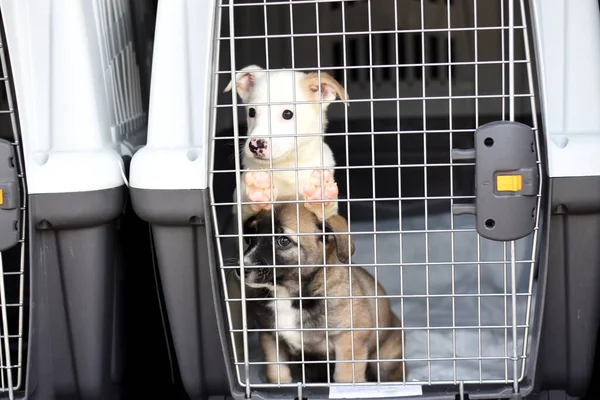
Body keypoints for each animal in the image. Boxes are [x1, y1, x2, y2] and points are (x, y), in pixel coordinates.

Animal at [224, 65, 346, 222]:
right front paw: (259, 191)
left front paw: (320, 195)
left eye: (287, 114)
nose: (255, 145)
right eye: (251, 112)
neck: (287, 167)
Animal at [240, 200, 408, 384]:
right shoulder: (270, 338)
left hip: (385, 362)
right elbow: (277, 373)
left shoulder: (348, 341)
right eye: (252, 235)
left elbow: (344, 378)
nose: (241, 269)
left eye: (283, 241)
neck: (289, 295)